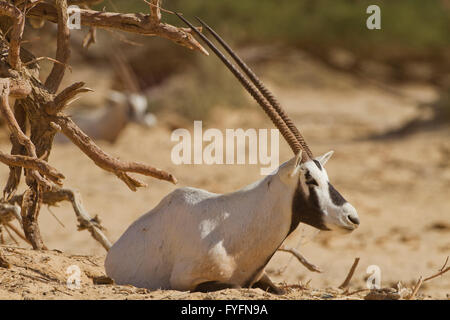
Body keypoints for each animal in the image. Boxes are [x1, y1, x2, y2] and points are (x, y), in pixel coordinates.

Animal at [104, 16, 358, 294]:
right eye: (309, 178)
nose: (352, 217)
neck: (239, 226)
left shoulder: (262, 277)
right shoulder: (187, 281)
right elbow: (231, 285)